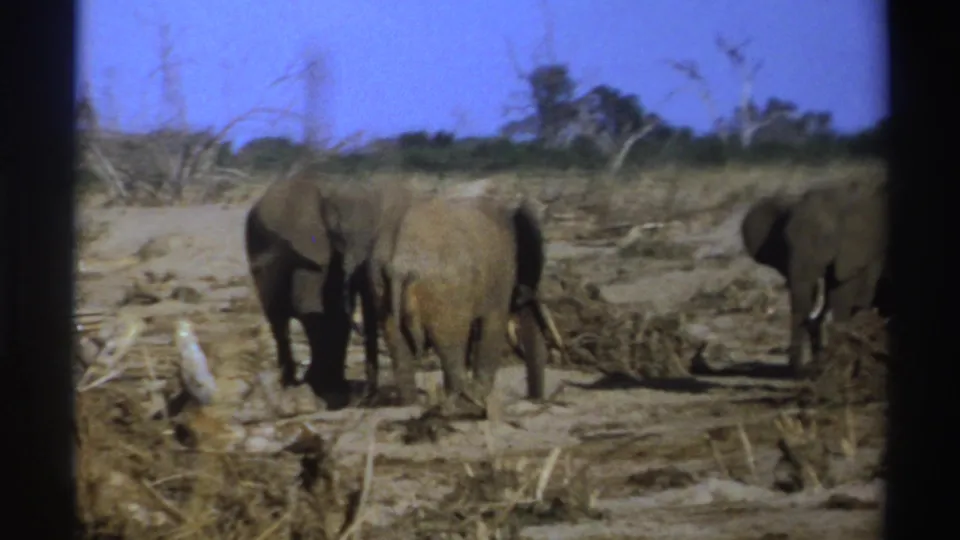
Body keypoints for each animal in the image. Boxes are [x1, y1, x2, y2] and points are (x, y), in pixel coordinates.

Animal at [370, 194, 556, 410]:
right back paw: (465, 401)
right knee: (451, 345)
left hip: (380, 286)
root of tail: (400, 263)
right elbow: (492, 325)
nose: (536, 400)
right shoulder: (501, 276)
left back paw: (413, 404)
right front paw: (481, 395)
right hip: (444, 295)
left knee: (399, 346)